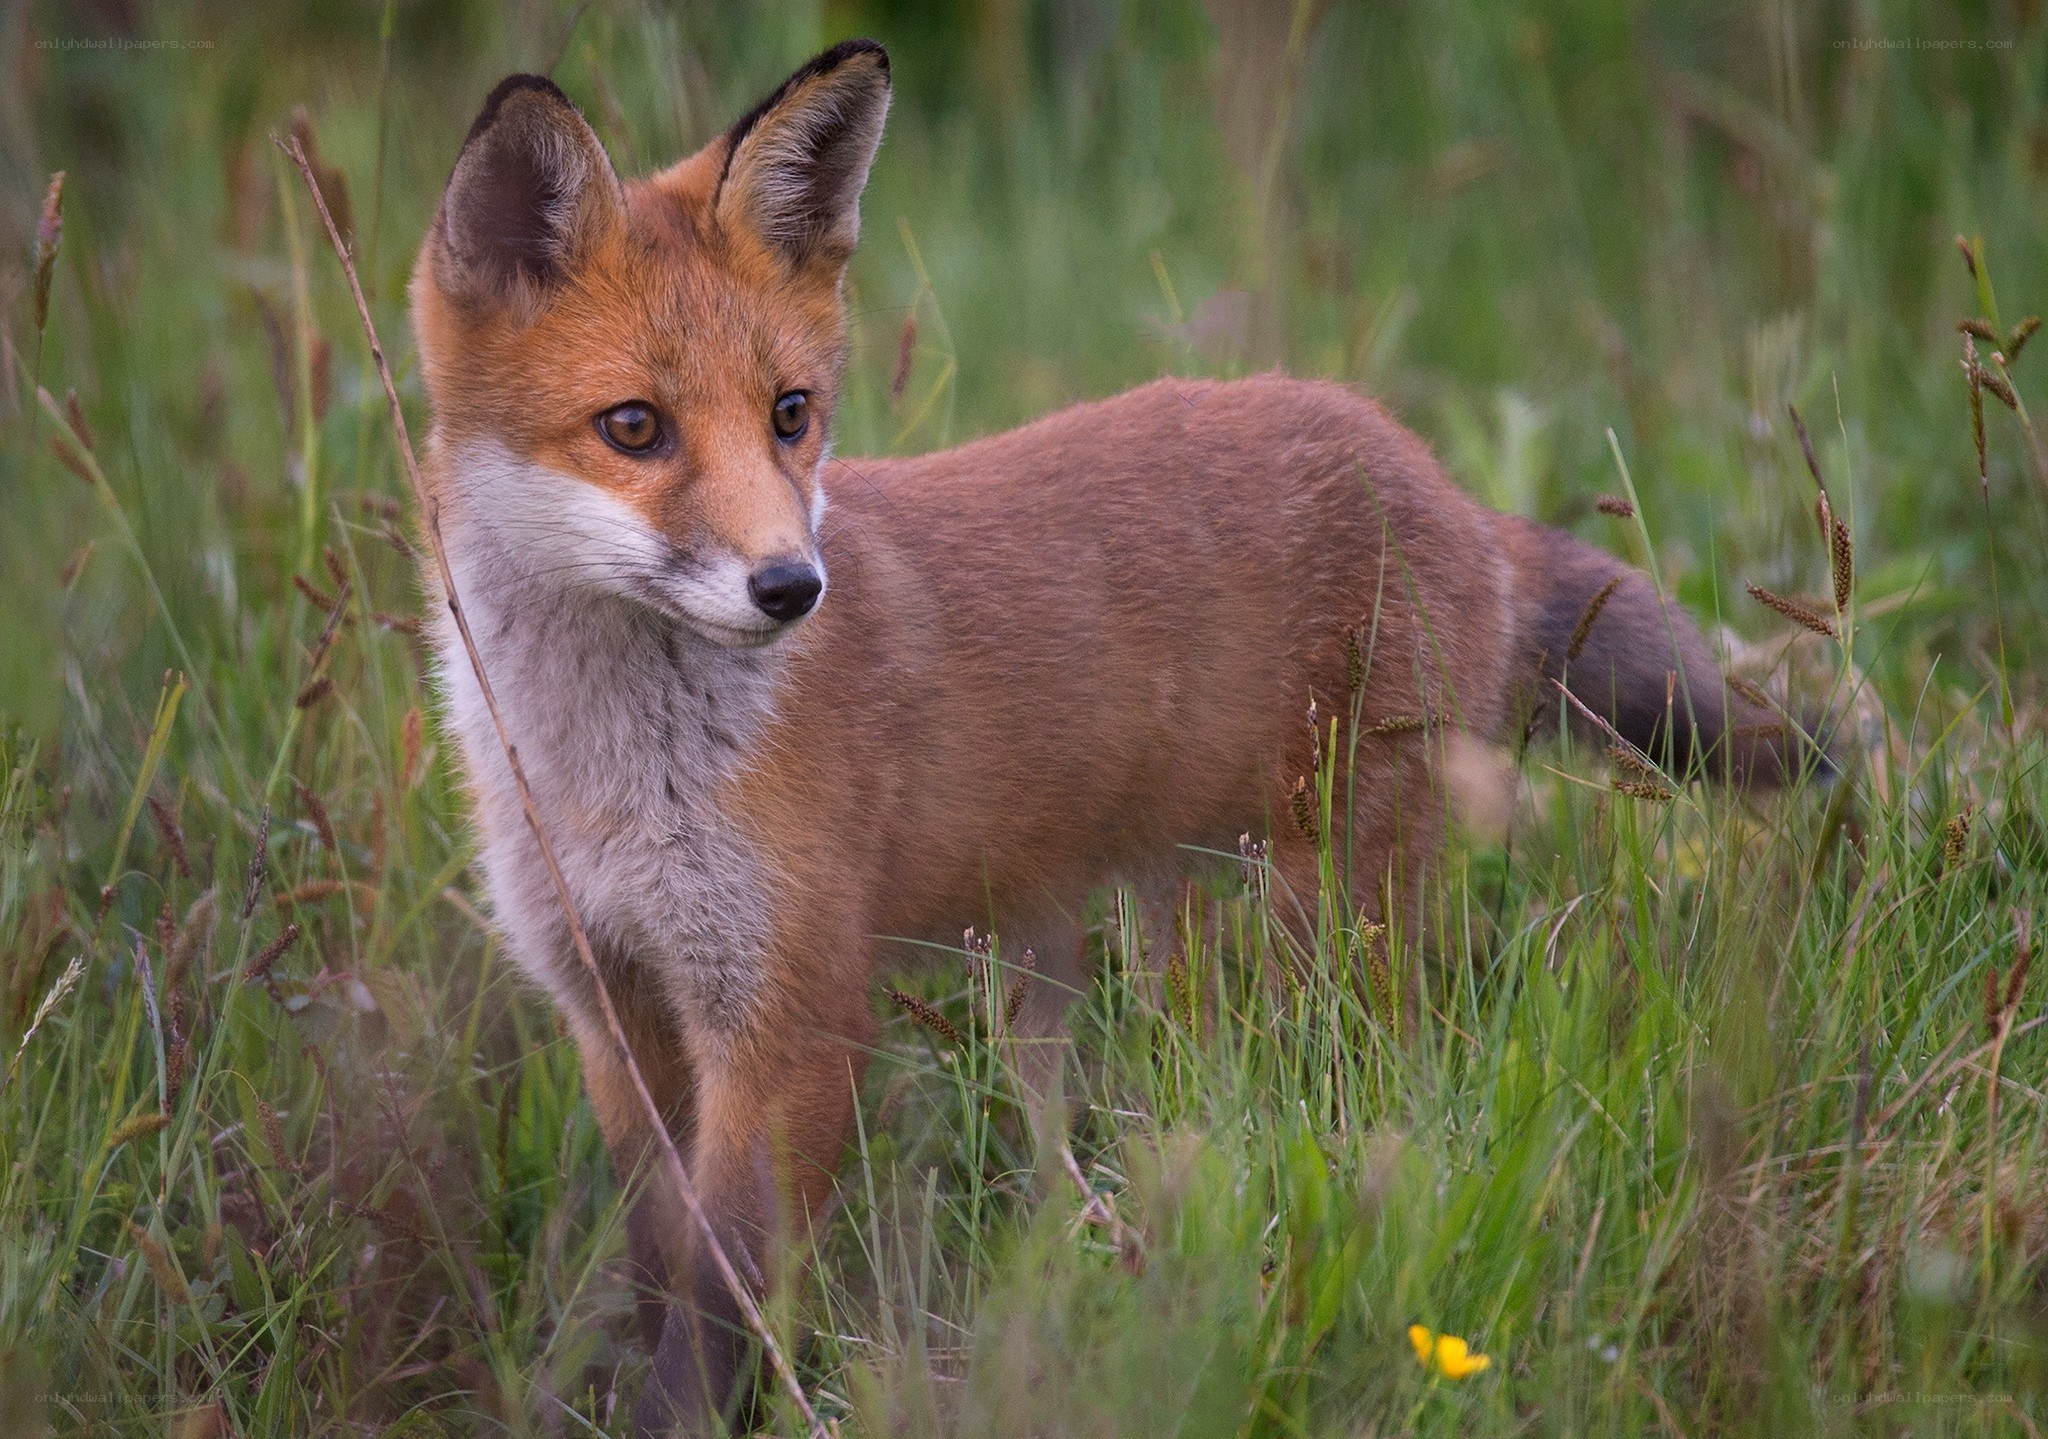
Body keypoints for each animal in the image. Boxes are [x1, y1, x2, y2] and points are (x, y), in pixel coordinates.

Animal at [410, 37, 1823, 1433]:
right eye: (632, 427)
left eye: (789, 413)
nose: (790, 588)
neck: (612, 782)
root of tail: (1442, 482)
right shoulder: (613, 1006)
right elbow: (662, 1269)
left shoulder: (791, 1018)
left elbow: (719, 1304)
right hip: (1165, 926)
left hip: (1328, 920)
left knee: (1375, 1078)